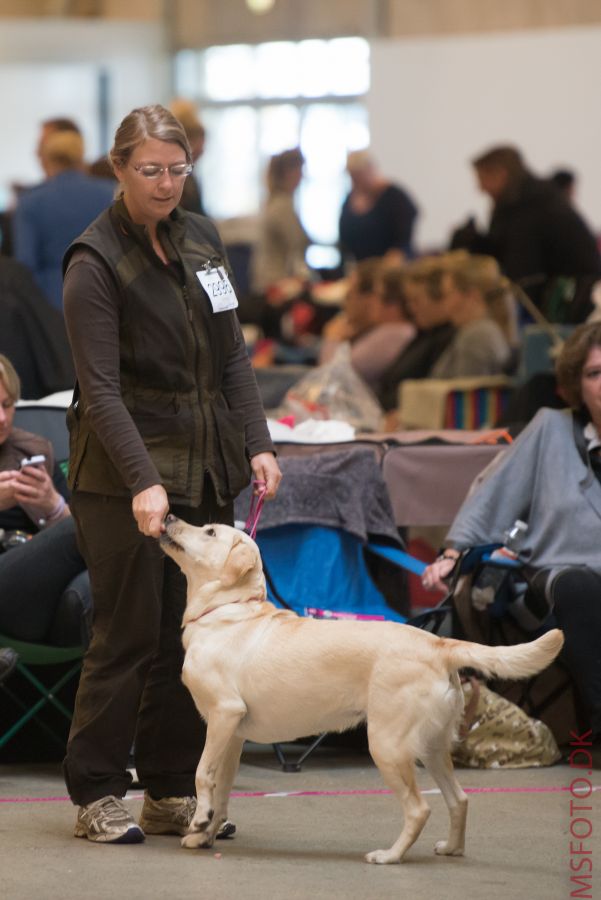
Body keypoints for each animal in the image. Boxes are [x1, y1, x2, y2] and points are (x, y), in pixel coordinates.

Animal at [159, 516, 564, 860]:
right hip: (432, 748)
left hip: (387, 744)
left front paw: (199, 821)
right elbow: (223, 788)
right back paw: (451, 848)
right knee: (459, 799)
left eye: (210, 531)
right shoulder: (235, 735)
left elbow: (202, 772)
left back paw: (389, 856)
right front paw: (205, 835)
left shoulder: (224, 715)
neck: (225, 612)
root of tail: (439, 644)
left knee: (419, 808)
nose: (168, 517)